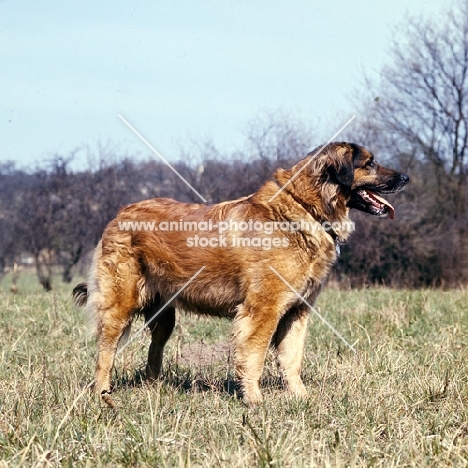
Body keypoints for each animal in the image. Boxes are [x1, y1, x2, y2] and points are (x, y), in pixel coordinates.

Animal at [71, 142, 408, 406]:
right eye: (370, 163)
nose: (406, 177)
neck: (304, 209)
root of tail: (119, 214)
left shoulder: (297, 312)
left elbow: (292, 358)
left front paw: (301, 397)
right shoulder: (263, 310)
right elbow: (254, 356)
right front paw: (255, 400)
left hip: (165, 315)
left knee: (155, 351)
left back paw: (154, 388)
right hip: (119, 306)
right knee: (105, 352)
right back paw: (103, 393)